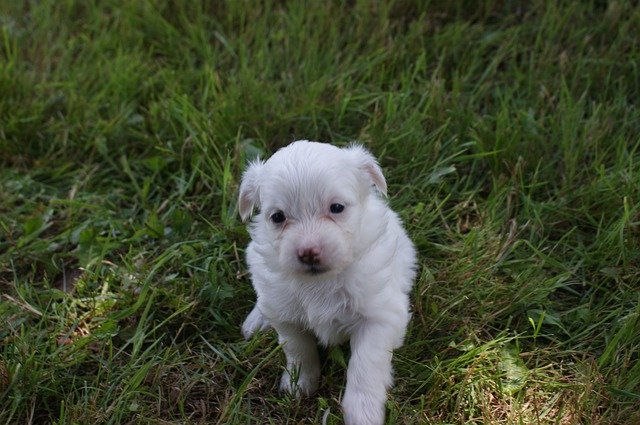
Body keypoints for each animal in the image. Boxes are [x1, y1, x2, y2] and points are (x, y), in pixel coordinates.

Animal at [238, 140, 418, 424]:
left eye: (336, 208)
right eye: (277, 217)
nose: (308, 252)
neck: (320, 281)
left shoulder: (380, 317)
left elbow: (365, 365)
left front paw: (363, 412)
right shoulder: (288, 319)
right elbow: (298, 348)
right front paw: (299, 384)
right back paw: (257, 320)